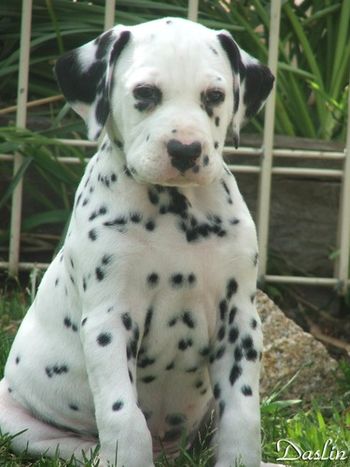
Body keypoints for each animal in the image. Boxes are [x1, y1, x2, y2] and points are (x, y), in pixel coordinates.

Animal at [0, 16, 276, 467]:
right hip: (20, 423)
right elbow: (123, 416)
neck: (176, 214)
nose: (185, 149)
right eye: (145, 93)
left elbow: (243, 414)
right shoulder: (109, 322)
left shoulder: (239, 320)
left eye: (214, 96)